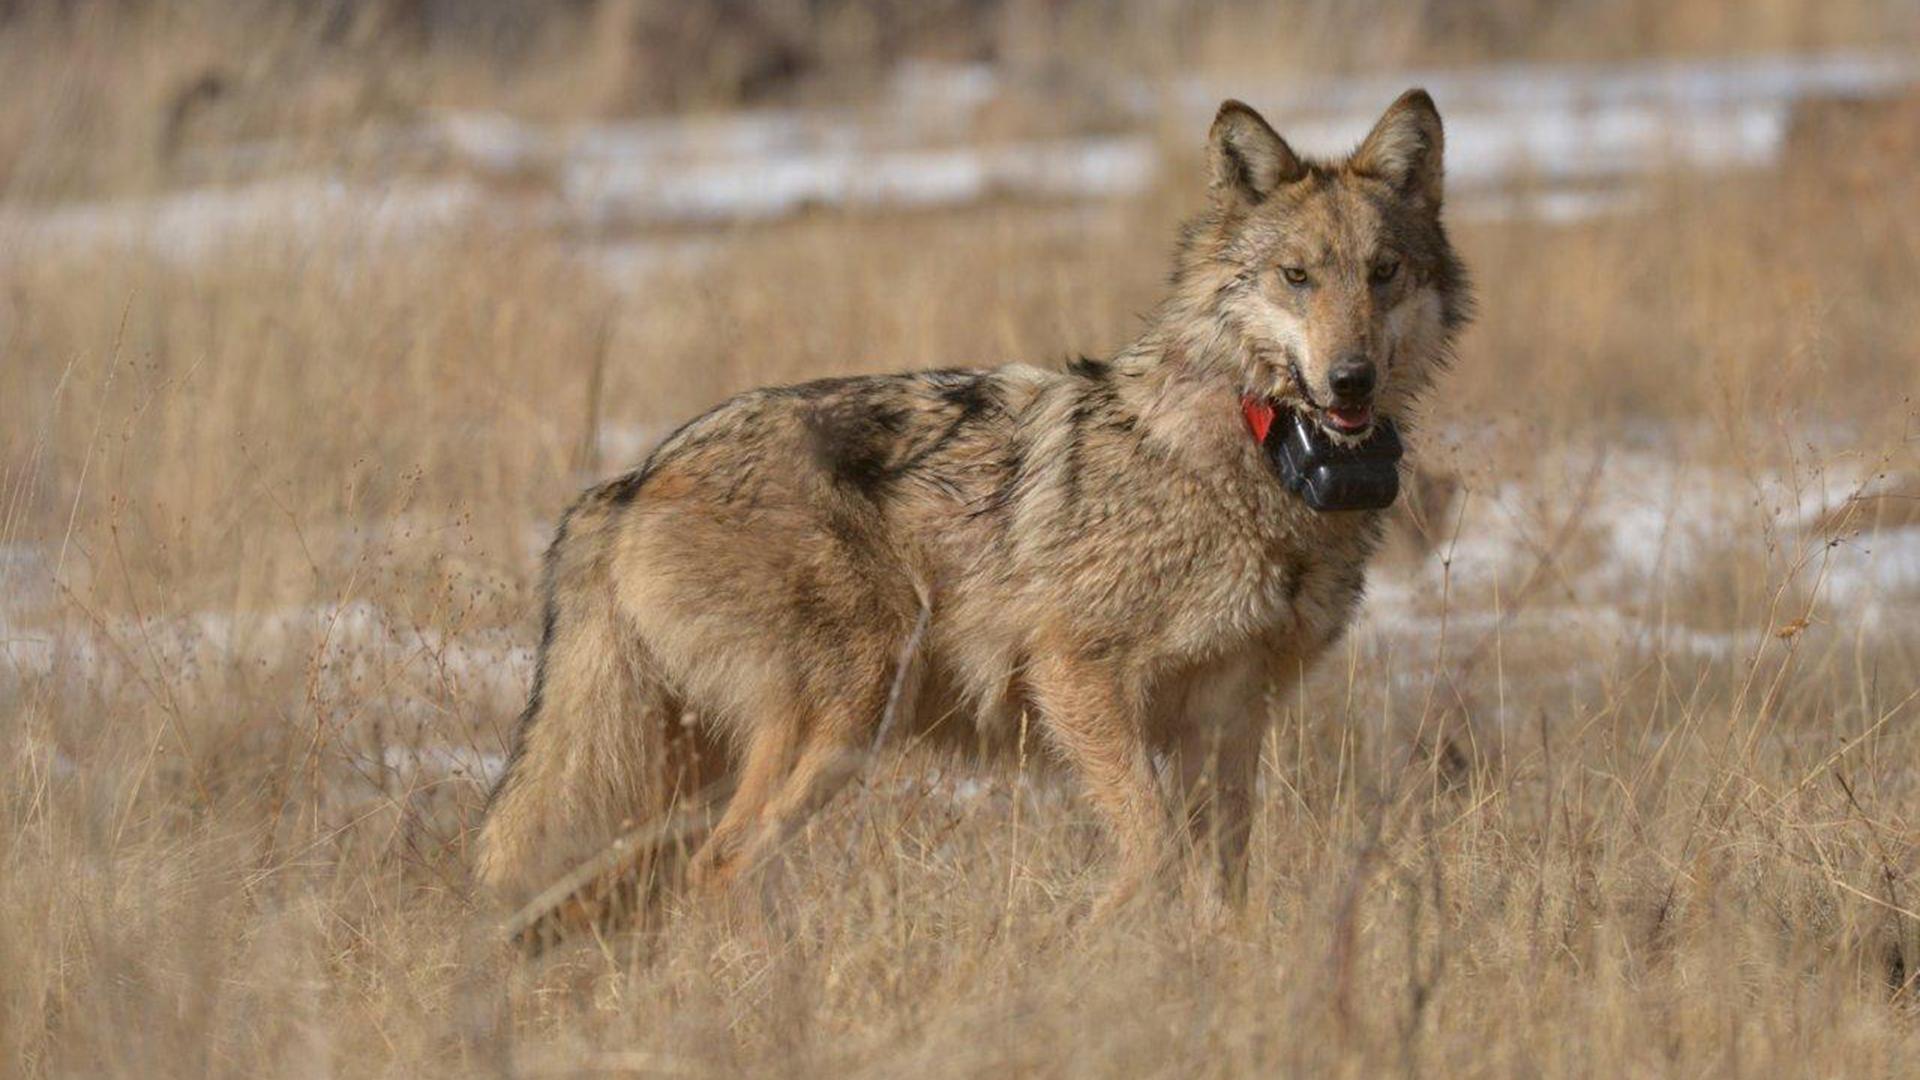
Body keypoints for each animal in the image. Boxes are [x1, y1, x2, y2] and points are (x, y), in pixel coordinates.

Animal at [476, 90, 1466, 914]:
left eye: (1384, 272)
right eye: (1297, 277)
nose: (1350, 381)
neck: (1254, 469)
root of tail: (626, 482)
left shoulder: (1228, 719)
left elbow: (1222, 880)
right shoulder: (1075, 675)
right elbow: (1155, 854)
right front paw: (1078, 947)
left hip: (707, 764)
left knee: (645, 879)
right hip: (843, 718)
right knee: (720, 865)